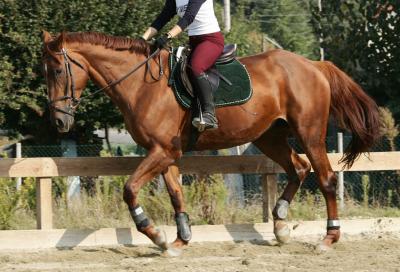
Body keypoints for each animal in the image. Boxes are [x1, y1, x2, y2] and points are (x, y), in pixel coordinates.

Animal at [42, 31, 380, 253]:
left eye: (57, 70)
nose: (59, 122)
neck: (141, 84)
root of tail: (313, 65)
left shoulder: (163, 150)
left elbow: (130, 189)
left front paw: (155, 234)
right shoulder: (165, 153)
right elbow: (176, 194)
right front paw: (179, 240)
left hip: (309, 133)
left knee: (326, 177)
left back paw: (328, 238)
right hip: (269, 136)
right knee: (298, 167)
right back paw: (281, 225)